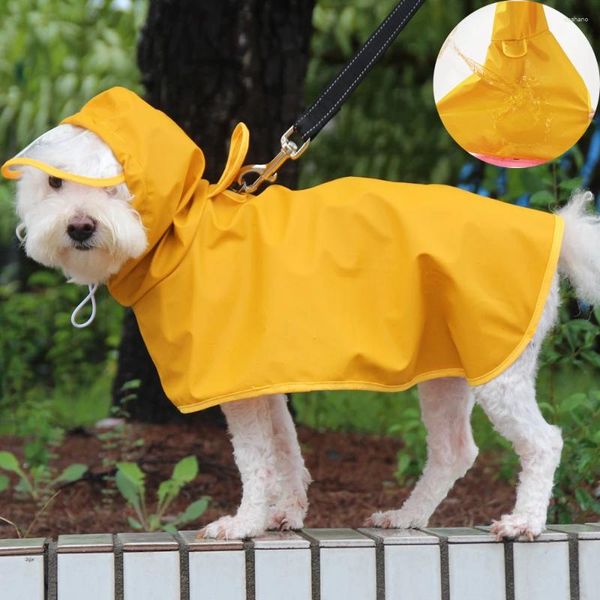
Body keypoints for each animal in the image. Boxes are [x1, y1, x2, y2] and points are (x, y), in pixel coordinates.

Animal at [8, 120, 600, 540]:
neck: (184, 235)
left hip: (499, 367)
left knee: (544, 443)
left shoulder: (236, 384)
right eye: (55, 181)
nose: (80, 227)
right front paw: (286, 514)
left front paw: (243, 524)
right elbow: (285, 449)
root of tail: (555, 227)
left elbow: (255, 459)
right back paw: (408, 516)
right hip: (446, 370)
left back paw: (525, 522)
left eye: (117, 185)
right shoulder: (262, 380)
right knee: (456, 451)